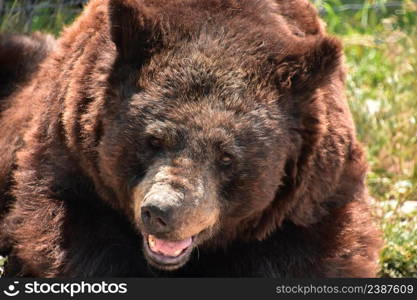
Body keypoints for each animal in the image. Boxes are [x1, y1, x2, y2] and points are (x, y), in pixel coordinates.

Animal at [0, 0, 380, 276]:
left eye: (227, 157)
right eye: (153, 140)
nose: (162, 212)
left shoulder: (313, 192)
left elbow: (317, 251)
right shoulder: (73, 157)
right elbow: (70, 236)